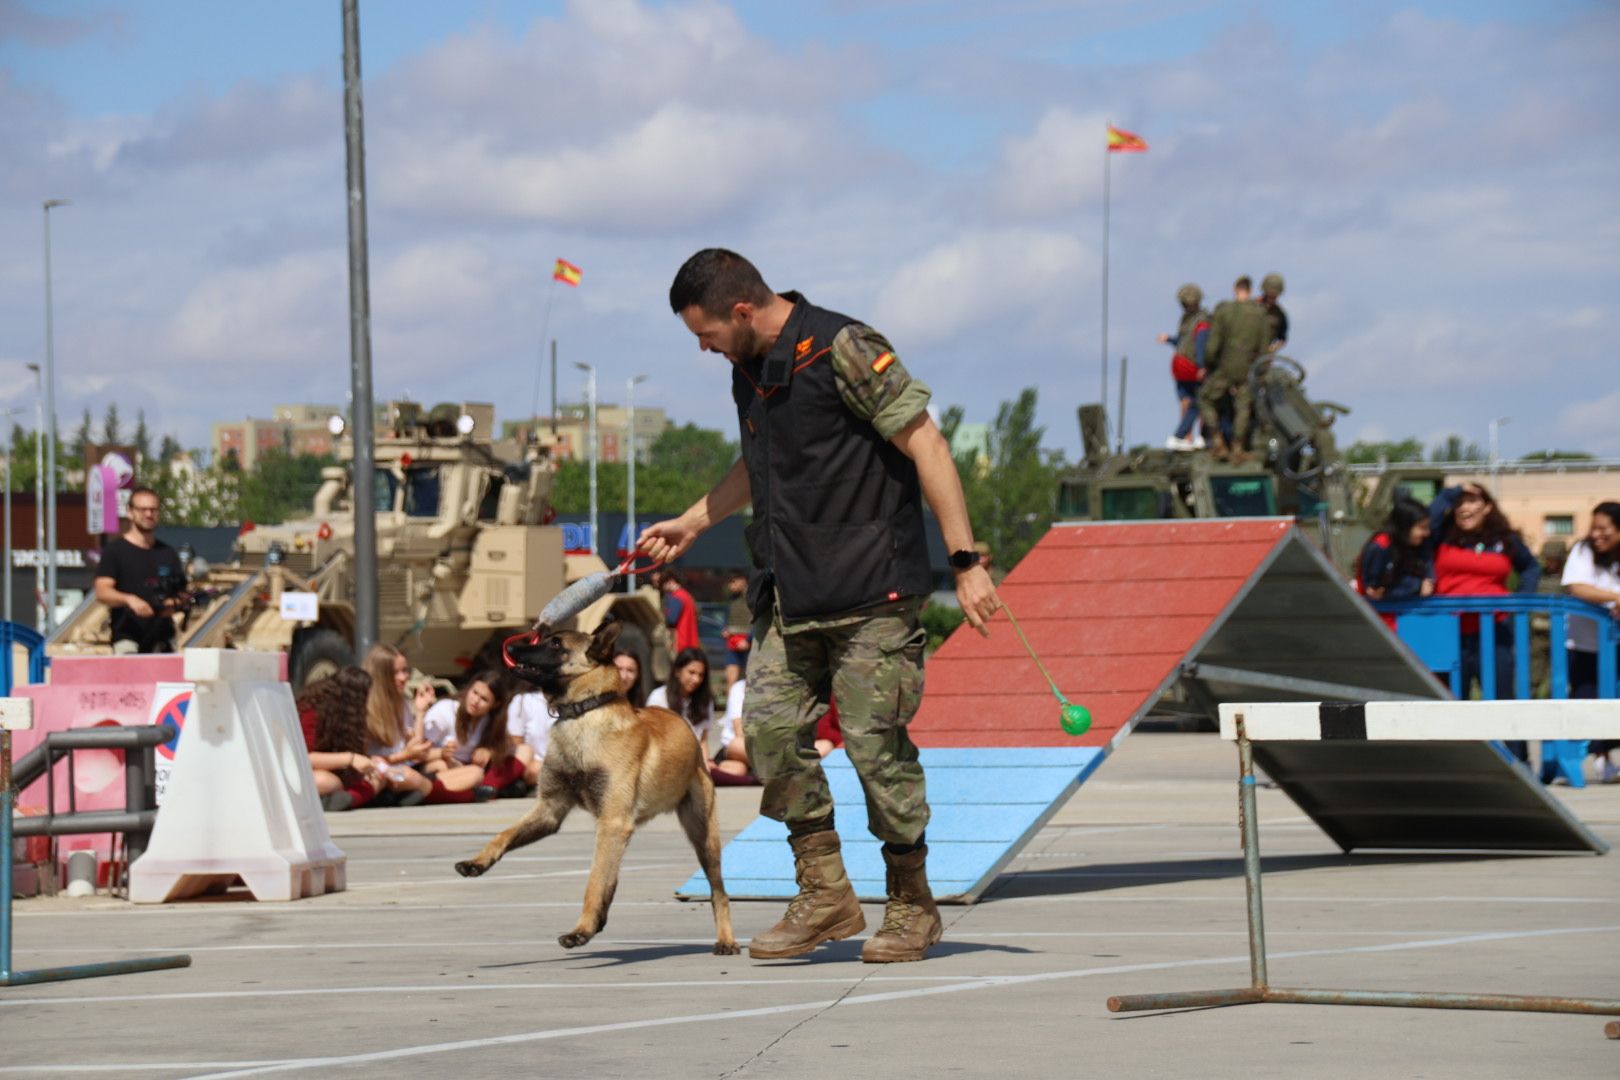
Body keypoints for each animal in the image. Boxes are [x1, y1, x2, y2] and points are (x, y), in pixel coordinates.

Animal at [453, 615, 738, 952]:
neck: (584, 712)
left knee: (718, 891)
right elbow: (505, 834)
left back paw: (726, 939)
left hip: (702, 836)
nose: (510, 647)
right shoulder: (550, 810)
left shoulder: (612, 822)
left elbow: (593, 881)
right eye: (544, 638)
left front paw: (580, 930)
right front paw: (477, 861)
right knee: (612, 877)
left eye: (556, 644)